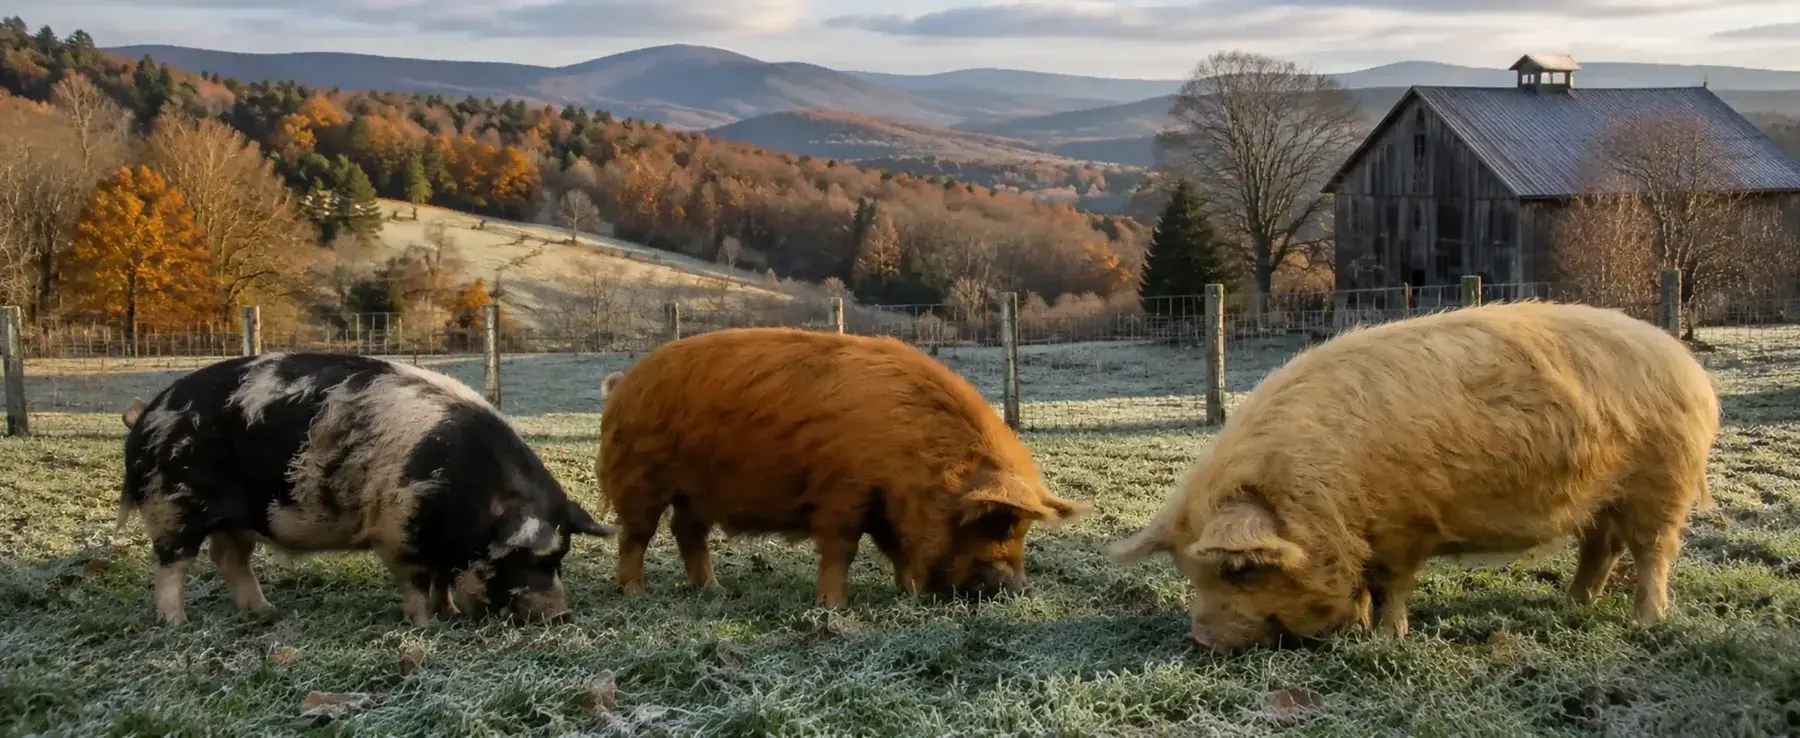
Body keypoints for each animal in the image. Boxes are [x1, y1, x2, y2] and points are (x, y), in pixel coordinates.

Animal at [116, 352, 614, 626]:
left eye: (561, 557)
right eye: (528, 557)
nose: (561, 614)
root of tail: (147, 417)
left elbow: (442, 582)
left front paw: (450, 613)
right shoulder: (397, 533)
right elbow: (418, 585)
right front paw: (426, 626)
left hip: (235, 519)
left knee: (228, 558)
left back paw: (264, 612)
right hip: (172, 505)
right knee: (172, 565)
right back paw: (176, 623)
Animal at [593, 326, 1089, 606]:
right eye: (998, 523)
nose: (1023, 590)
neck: (917, 460)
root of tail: (621, 384)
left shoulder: (885, 505)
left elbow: (897, 551)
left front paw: (908, 595)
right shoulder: (843, 493)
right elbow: (842, 550)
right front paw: (833, 609)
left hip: (694, 492)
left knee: (686, 532)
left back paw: (713, 591)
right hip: (640, 476)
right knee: (636, 535)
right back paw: (634, 595)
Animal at [1111, 301, 1720, 651]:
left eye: (1239, 570)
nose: (1200, 642)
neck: (1324, 493)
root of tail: (1690, 368)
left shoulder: (1405, 526)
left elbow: (1392, 584)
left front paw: (1386, 638)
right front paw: (1362, 628)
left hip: (1662, 484)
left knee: (1652, 553)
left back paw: (1646, 622)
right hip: (1603, 498)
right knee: (1601, 547)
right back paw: (1573, 605)